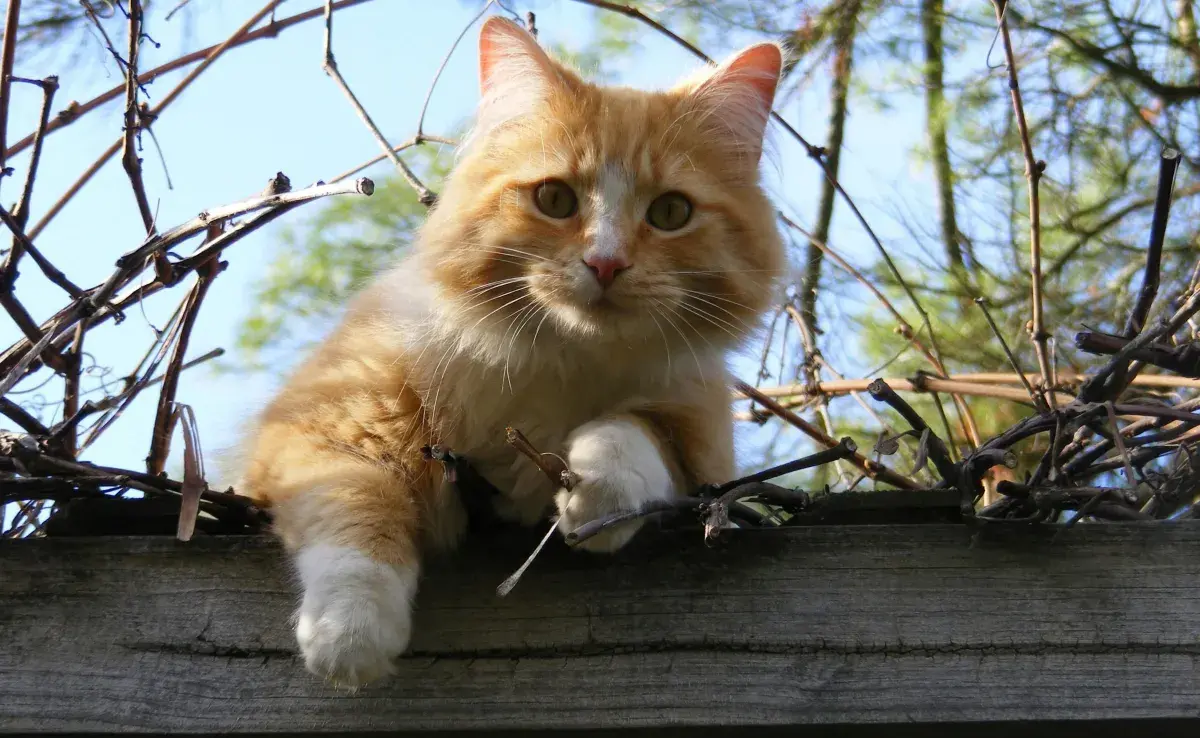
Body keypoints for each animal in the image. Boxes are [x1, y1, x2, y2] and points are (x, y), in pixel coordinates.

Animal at [240, 15, 792, 686]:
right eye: (555, 200)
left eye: (670, 212)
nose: (606, 263)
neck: (559, 361)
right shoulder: (325, 426)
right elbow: (359, 511)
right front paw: (350, 637)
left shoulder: (702, 438)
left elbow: (635, 433)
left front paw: (598, 496)